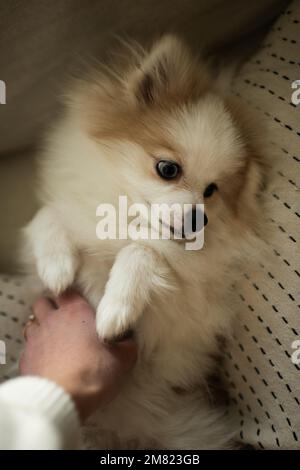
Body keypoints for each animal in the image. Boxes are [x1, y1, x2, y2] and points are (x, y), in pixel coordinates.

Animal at [22, 35, 268, 448]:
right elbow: (49, 214)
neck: (128, 221)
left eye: (212, 191)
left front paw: (114, 309)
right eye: (168, 169)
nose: (199, 218)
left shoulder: (184, 312)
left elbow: (142, 252)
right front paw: (56, 266)